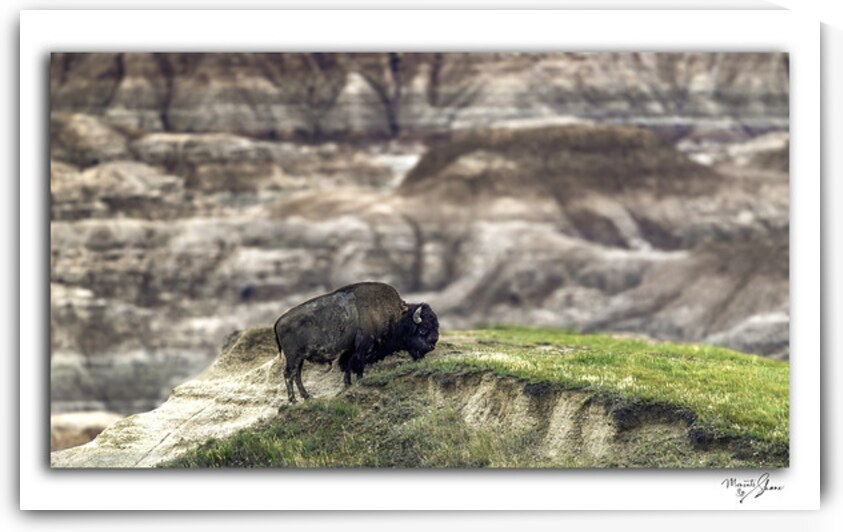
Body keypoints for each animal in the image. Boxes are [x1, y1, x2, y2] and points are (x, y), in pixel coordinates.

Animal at [273, 282, 439, 406]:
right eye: (423, 328)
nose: (432, 345)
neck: (397, 317)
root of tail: (279, 320)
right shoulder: (362, 349)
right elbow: (358, 366)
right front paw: (359, 381)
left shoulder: (349, 351)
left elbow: (347, 367)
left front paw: (348, 384)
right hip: (294, 357)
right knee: (289, 374)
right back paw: (293, 400)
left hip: (299, 359)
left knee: (297, 375)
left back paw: (307, 397)